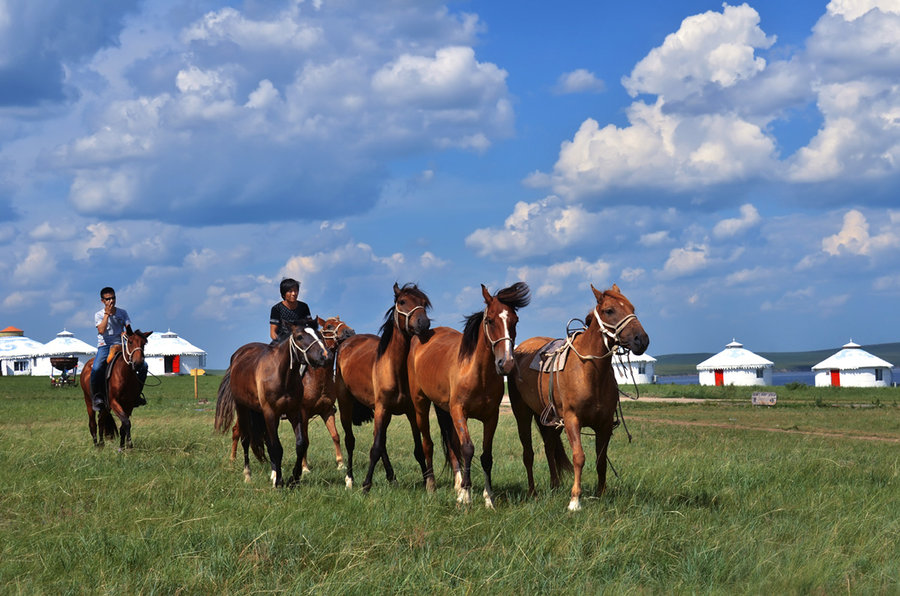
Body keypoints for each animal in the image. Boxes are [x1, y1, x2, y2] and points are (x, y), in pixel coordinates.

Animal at [214, 318, 330, 486]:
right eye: (299, 337)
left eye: (320, 334)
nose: (325, 355)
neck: (283, 376)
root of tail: (236, 357)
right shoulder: (270, 412)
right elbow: (276, 447)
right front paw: (279, 482)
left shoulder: (294, 412)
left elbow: (300, 444)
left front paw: (294, 478)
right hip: (243, 408)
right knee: (244, 438)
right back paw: (247, 475)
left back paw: (273, 473)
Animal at [225, 314, 356, 472]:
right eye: (329, 326)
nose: (350, 332)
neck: (317, 377)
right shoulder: (303, 413)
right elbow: (305, 439)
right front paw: (305, 468)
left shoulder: (327, 410)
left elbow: (335, 435)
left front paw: (341, 464)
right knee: (236, 431)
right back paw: (232, 462)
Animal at [334, 282, 432, 492]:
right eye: (402, 301)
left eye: (423, 303)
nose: (423, 323)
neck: (396, 369)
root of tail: (346, 342)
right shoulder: (383, 409)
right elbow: (375, 448)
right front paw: (366, 485)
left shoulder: (410, 412)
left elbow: (417, 449)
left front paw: (426, 480)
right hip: (346, 405)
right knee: (350, 441)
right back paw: (349, 479)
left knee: (380, 442)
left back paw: (392, 477)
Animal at [406, 282, 528, 508]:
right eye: (490, 320)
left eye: (515, 320)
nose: (506, 363)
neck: (477, 374)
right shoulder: (459, 412)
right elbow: (468, 448)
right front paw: (466, 496)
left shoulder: (491, 417)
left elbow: (485, 455)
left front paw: (488, 498)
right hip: (421, 405)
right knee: (428, 444)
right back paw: (431, 486)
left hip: (444, 410)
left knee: (452, 445)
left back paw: (457, 485)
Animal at [506, 286, 648, 510]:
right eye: (609, 310)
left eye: (632, 308)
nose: (641, 340)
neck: (590, 371)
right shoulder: (572, 420)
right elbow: (579, 457)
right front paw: (575, 500)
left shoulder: (604, 425)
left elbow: (601, 459)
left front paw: (601, 494)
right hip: (522, 414)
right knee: (528, 454)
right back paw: (533, 492)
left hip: (549, 420)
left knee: (549, 448)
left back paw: (554, 486)